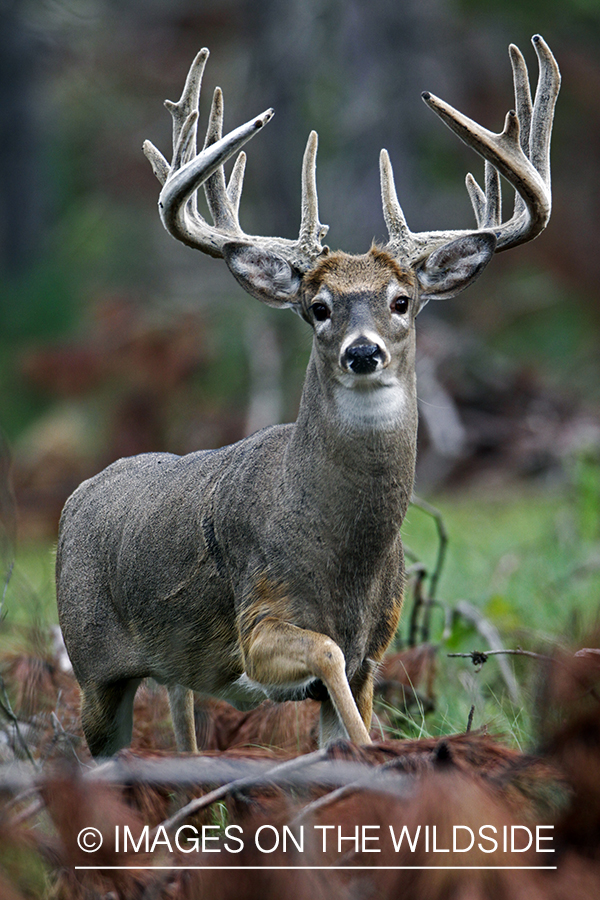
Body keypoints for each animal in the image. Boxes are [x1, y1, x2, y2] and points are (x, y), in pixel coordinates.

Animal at [55, 35, 556, 756]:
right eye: (318, 307)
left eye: (401, 300)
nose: (363, 352)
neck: (341, 560)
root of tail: (75, 500)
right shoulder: (258, 617)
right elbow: (324, 655)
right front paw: (379, 749)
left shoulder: (377, 644)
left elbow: (339, 725)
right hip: (92, 661)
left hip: (164, 673)